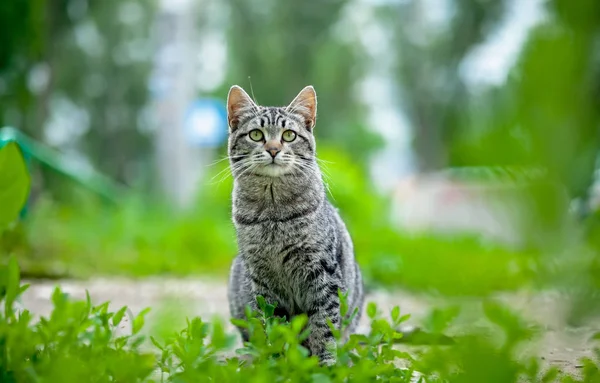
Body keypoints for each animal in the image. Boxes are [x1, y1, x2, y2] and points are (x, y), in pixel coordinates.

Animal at [226, 85, 364, 366]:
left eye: (289, 135)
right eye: (256, 135)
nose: (273, 149)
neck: (273, 215)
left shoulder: (323, 274)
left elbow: (324, 326)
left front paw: (325, 366)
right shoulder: (262, 281)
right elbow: (273, 326)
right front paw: (275, 363)